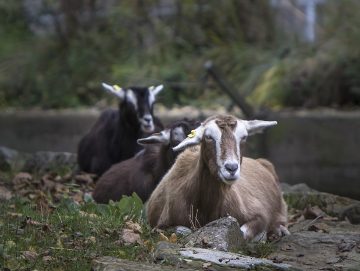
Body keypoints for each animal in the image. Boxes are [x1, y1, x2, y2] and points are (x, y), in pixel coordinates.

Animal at [146, 115, 290, 242]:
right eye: (208, 137)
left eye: (244, 137)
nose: (231, 168)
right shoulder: (159, 227)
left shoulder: (259, 215)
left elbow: (243, 233)